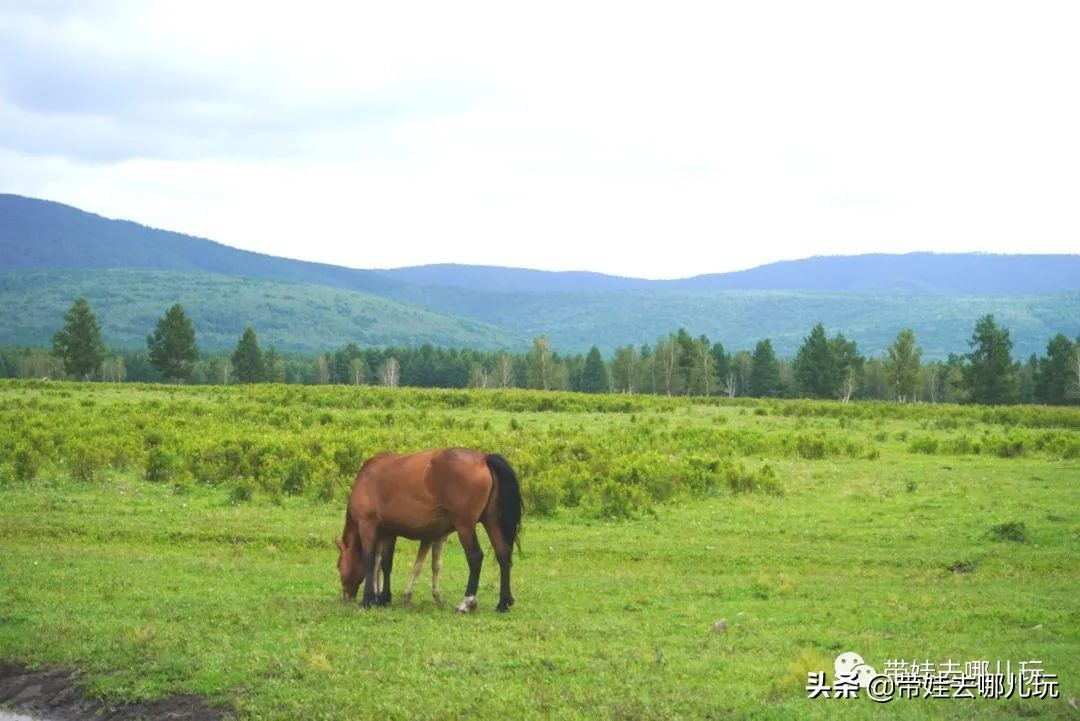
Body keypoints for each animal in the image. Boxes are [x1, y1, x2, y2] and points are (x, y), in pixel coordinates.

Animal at [336, 446, 522, 613]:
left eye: (338, 566)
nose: (345, 596)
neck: (366, 478)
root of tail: (483, 458)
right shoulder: (388, 532)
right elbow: (385, 565)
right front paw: (383, 599)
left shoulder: (367, 527)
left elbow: (369, 561)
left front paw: (367, 600)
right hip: (491, 521)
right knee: (503, 554)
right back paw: (503, 603)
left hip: (465, 526)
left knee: (475, 557)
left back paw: (467, 603)